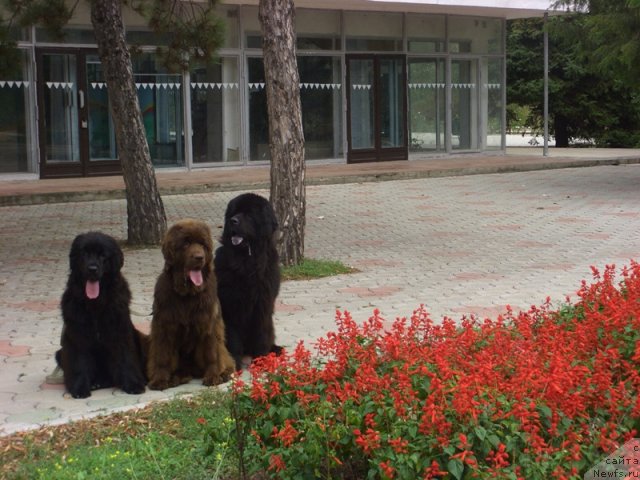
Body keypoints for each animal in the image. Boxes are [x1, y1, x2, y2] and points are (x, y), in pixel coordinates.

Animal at [147, 218, 235, 390]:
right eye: (186, 244)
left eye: (202, 244)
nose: (199, 257)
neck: (187, 295)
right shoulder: (164, 326)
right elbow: (162, 355)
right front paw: (160, 379)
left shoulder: (209, 325)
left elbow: (212, 353)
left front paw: (213, 376)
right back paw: (175, 378)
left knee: (225, 358)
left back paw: (224, 373)